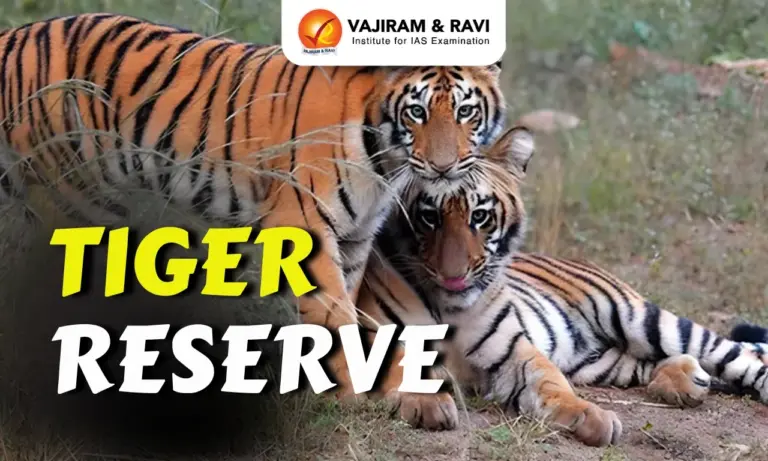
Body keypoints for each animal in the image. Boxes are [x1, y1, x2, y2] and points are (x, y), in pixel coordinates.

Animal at [0, 13, 508, 424]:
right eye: (417, 111)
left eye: (465, 111)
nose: (443, 167)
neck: (385, 159)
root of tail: (15, 35)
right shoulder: (305, 225)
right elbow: (335, 317)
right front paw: (348, 395)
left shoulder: (355, 239)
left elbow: (357, 315)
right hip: (68, 195)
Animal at [357, 125, 768, 447]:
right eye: (429, 217)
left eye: (480, 216)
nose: (454, 275)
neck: (450, 306)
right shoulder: (372, 337)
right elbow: (399, 366)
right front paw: (427, 403)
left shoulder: (513, 351)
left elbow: (550, 382)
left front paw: (591, 417)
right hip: (603, 363)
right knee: (661, 363)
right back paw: (684, 381)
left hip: (642, 318)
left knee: (739, 357)